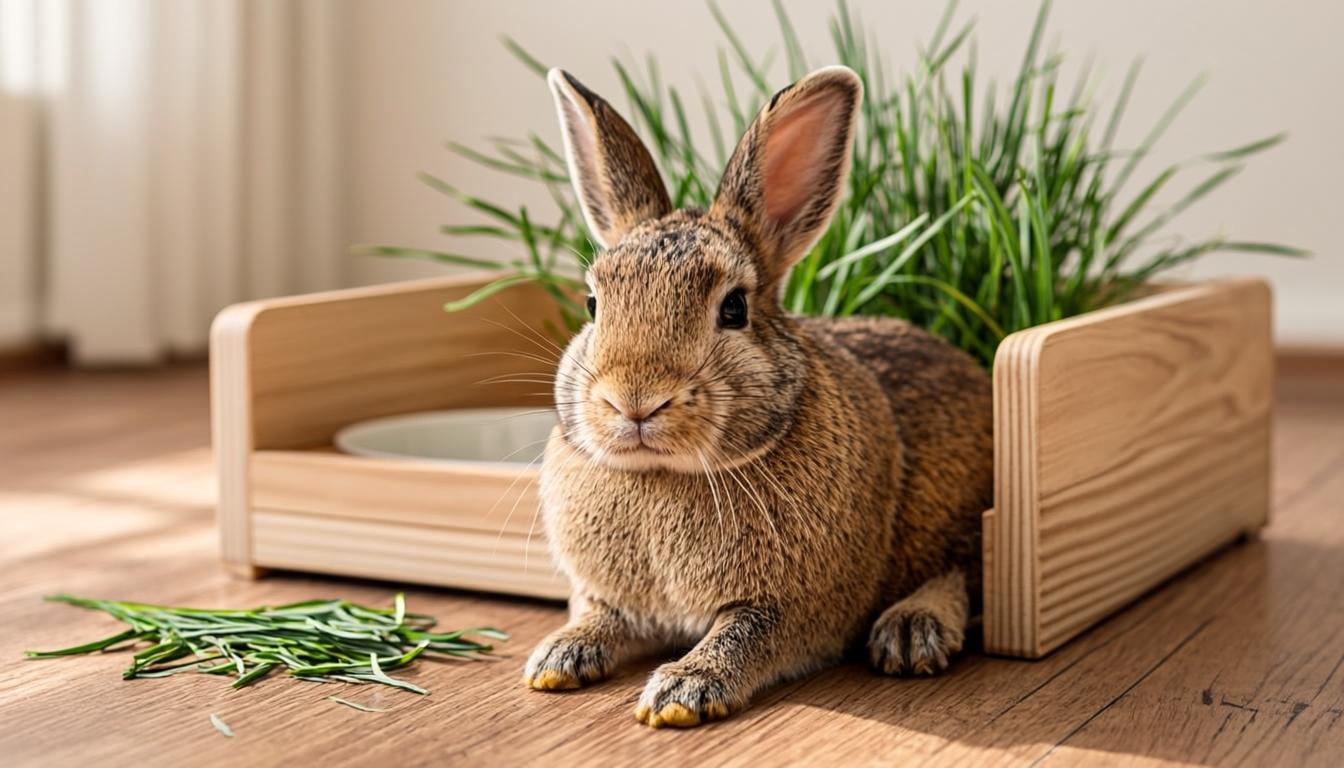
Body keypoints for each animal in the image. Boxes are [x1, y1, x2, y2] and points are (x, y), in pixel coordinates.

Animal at [522, 64, 994, 728]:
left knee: (965, 578)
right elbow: (599, 616)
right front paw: (557, 658)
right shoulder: (612, 597)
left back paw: (910, 632)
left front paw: (682, 693)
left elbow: (744, 634)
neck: (663, 474)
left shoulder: (793, 605)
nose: (634, 400)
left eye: (734, 308)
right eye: (593, 303)